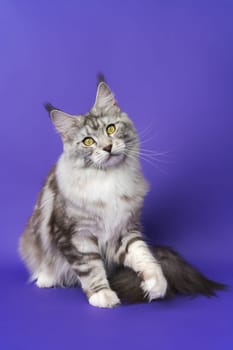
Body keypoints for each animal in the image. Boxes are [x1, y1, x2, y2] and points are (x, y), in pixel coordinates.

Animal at [18, 75, 226, 308]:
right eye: (88, 141)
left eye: (110, 129)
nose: (107, 147)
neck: (109, 180)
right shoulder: (76, 235)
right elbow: (90, 267)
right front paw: (102, 295)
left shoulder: (123, 231)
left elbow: (143, 255)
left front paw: (156, 283)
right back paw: (46, 278)